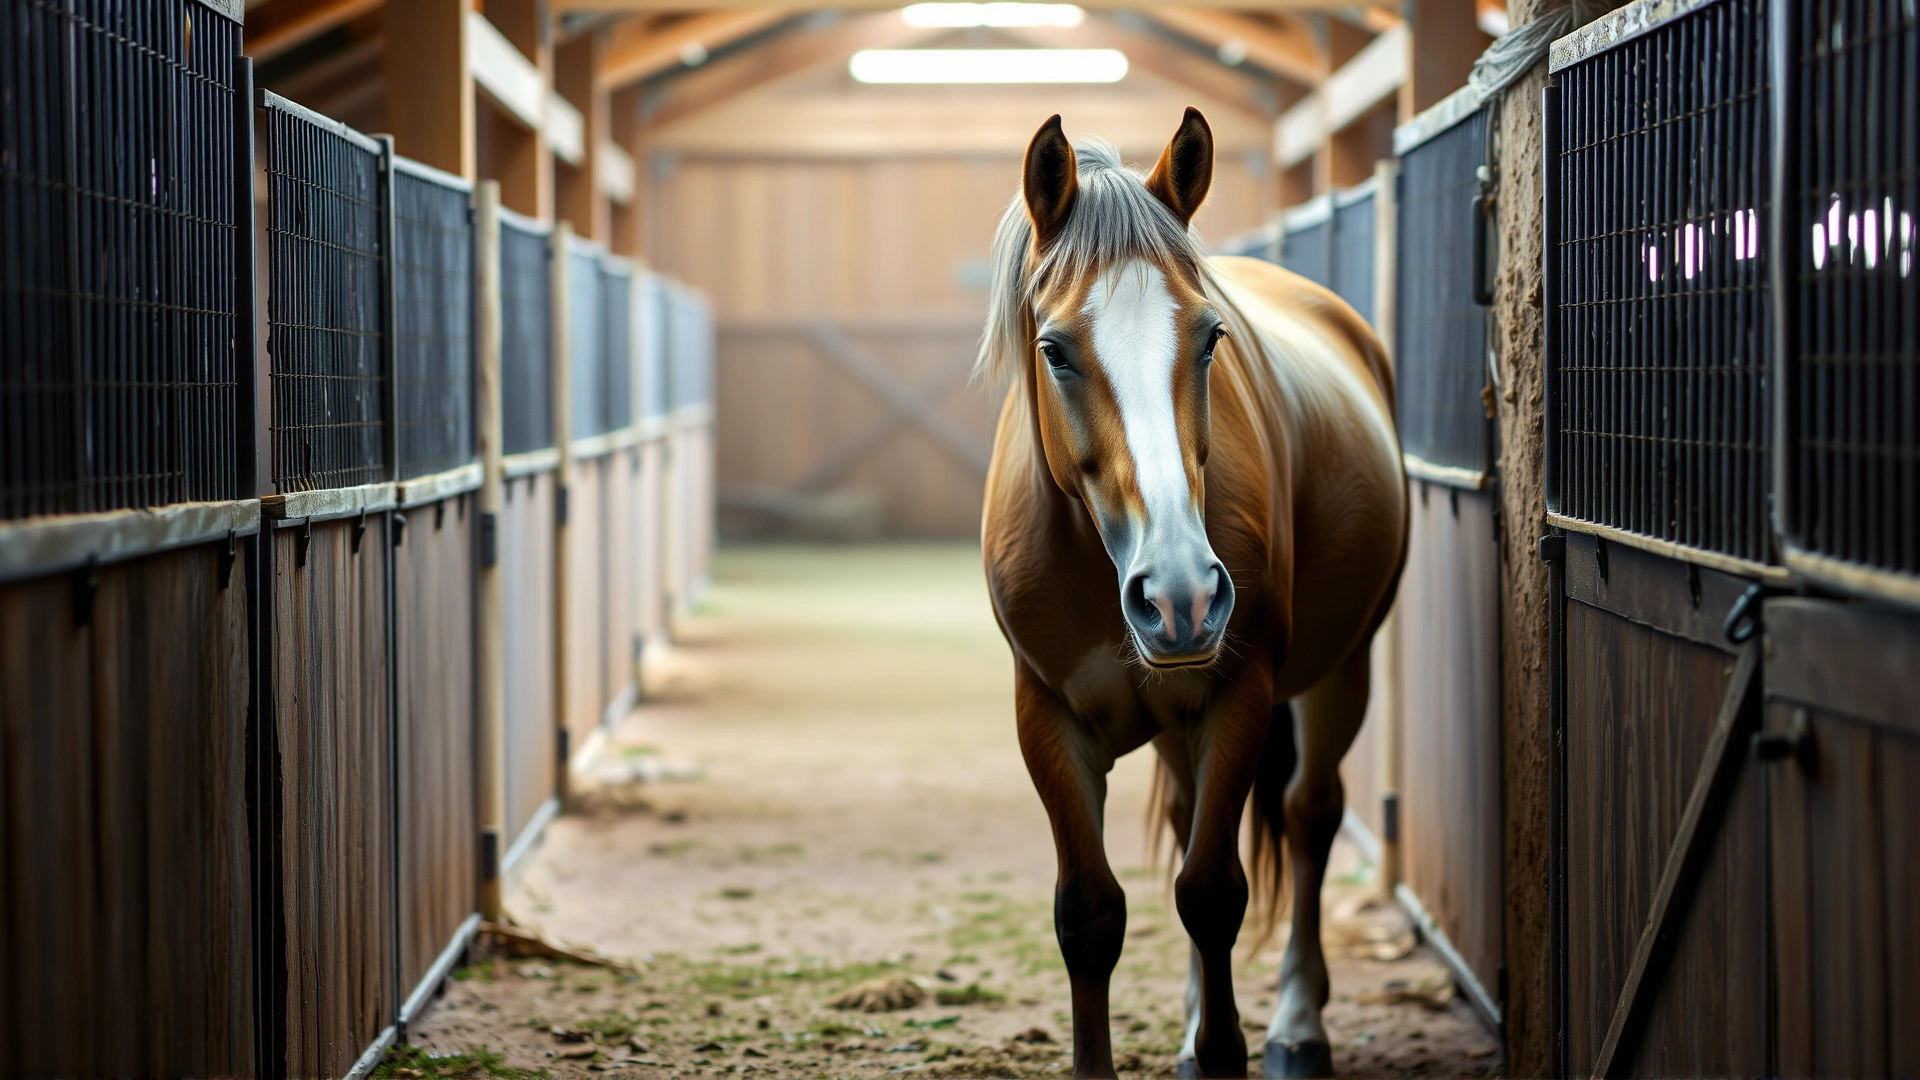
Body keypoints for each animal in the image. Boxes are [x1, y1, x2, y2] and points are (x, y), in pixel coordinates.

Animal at [977, 109, 1406, 1079]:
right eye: (1054, 351)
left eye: (1210, 339)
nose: (1181, 596)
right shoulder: (1045, 717)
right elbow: (1089, 913)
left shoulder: (1237, 695)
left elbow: (1212, 893)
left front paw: (1228, 1042)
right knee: (1184, 817)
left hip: (1344, 672)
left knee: (1310, 816)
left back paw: (1297, 1024)